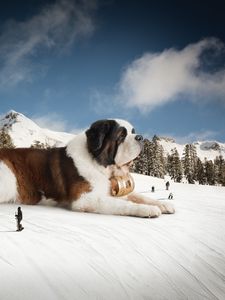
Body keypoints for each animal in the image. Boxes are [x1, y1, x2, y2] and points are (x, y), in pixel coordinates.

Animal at [0, 119, 174, 218]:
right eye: (121, 136)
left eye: (133, 132)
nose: (140, 137)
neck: (99, 164)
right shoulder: (85, 199)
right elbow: (122, 204)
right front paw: (148, 209)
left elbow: (138, 196)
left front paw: (163, 204)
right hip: (8, 178)